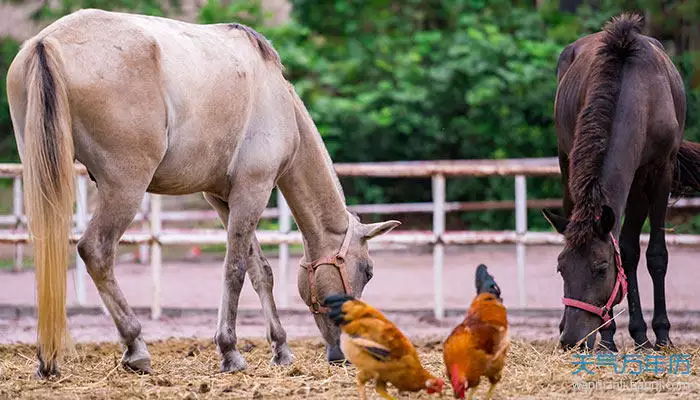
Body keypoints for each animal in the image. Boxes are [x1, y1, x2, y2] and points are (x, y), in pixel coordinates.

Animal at [6, 9, 400, 378]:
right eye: (367, 271)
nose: (343, 354)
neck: (277, 97)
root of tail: (47, 42)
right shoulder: (252, 191)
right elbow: (235, 269)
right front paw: (230, 351)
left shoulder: (224, 199)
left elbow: (261, 271)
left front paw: (281, 349)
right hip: (125, 188)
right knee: (96, 251)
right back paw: (135, 347)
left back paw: (47, 358)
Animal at [544, 13, 700, 350]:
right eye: (561, 267)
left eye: (601, 268)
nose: (573, 339)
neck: (640, 94)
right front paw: (609, 337)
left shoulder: (658, 173)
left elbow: (653, 254)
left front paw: (661, 333)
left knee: (630, 249)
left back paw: (642, 334)